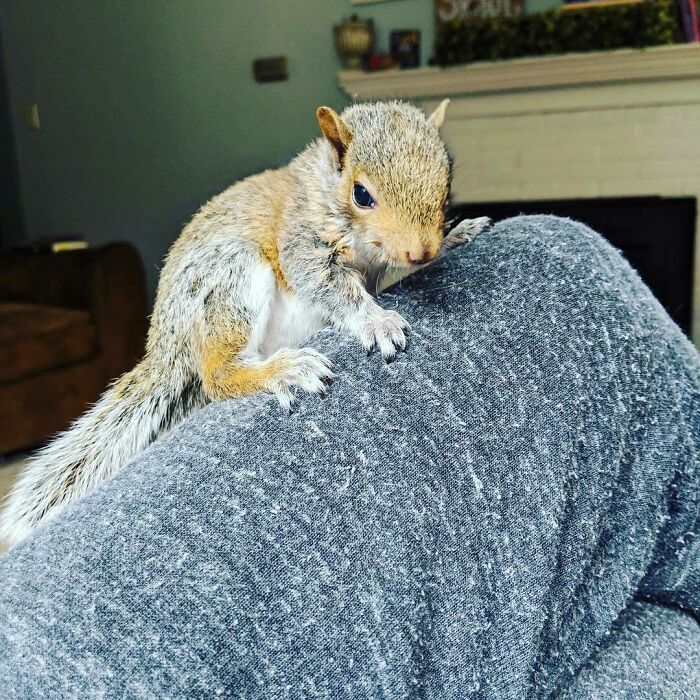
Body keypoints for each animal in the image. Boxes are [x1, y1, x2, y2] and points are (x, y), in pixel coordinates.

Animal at [0, 99, 489, 547]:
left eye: (448, 181)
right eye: (361, 194)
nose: (421, 251)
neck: (321, 189)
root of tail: (167, 346)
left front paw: (459, 235)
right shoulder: (301, 241)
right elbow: (328, 285)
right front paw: (375, 320)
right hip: (231, 279)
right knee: (219, 375)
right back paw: (282, 370)